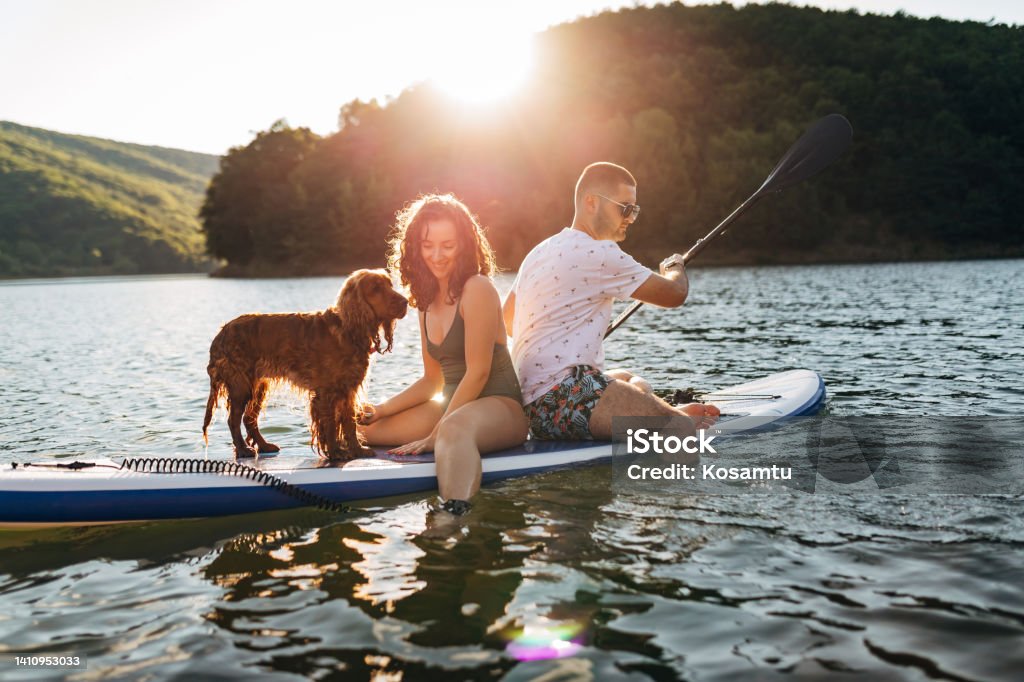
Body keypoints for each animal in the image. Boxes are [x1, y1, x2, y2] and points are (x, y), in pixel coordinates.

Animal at [201, 268, 405, 458]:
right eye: (376, 288)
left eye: (390, 285)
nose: (405, 302)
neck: (348, 330)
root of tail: (221, 333)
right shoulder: (326, 392)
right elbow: (330, 424)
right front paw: (335, 452)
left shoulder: (348, 390)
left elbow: (349, 422)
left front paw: (357, 449)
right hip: (241, 385)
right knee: (234, 420)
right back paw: (243, 449)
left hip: (258, 386)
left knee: (249, 419)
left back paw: (264, 445)